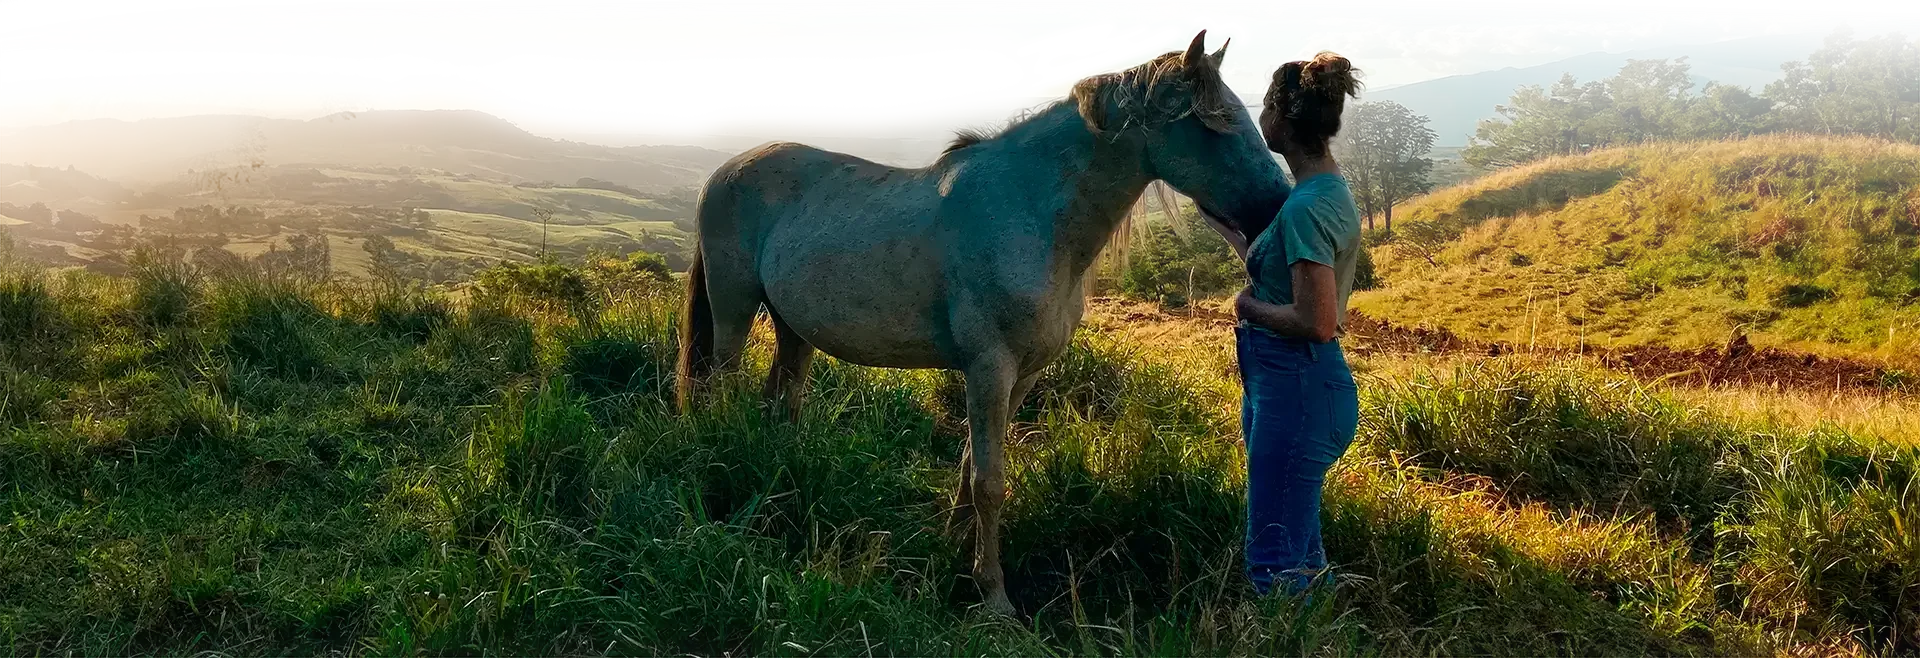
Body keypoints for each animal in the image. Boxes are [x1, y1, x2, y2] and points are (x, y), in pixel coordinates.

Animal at [675, 29, 1287, 616]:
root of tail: (722, 173)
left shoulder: (1023, 374)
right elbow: (990, 482)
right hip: (733, 310)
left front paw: (954, 548)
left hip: (793, 327)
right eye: (1216, 125)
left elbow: (974, 469)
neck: (1030, 214)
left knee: (781, 397)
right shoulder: (989, 367)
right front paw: (993, 596)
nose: (1278, 210)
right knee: (719, 382)